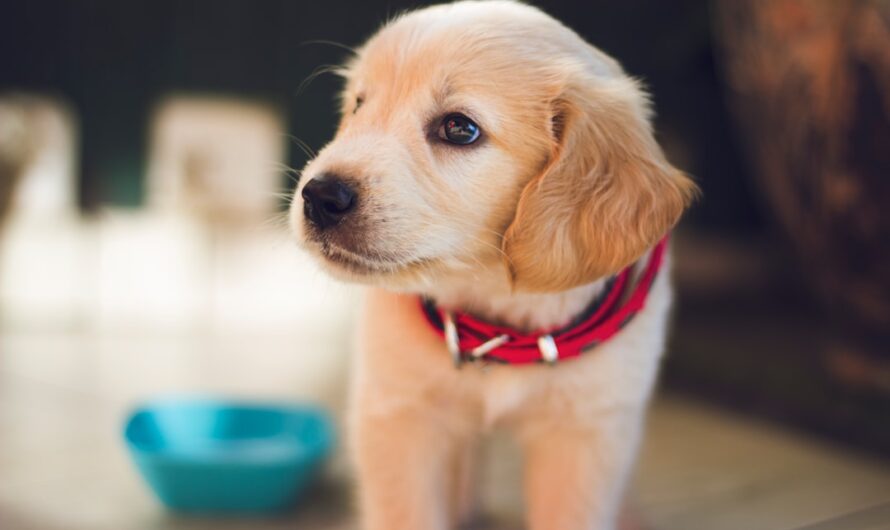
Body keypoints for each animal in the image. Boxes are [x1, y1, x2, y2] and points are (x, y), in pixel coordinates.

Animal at [290, 1, 692, 528]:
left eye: (459, 128)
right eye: (359, 104)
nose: (318, 196)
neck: (497, 315)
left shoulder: (587, 432)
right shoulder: (398, 414)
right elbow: (405, 511)